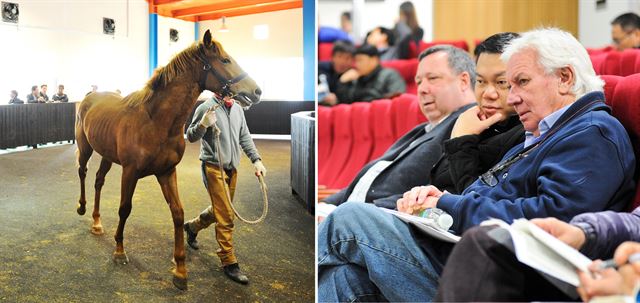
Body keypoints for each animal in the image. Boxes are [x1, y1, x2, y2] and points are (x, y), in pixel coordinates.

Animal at [76, 29, 262, 290]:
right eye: (225, 60)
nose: (256, 91)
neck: (155, 121)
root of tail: (90, 96)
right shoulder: (130, 172)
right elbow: (125, 209)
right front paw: (120, 251)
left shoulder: (166, 172)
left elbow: (178, 213)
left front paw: (180, 270)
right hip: (85, 148)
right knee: (82, 172)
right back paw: (82, 209)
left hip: (106, 155)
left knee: (98, 181)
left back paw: (96, 223)